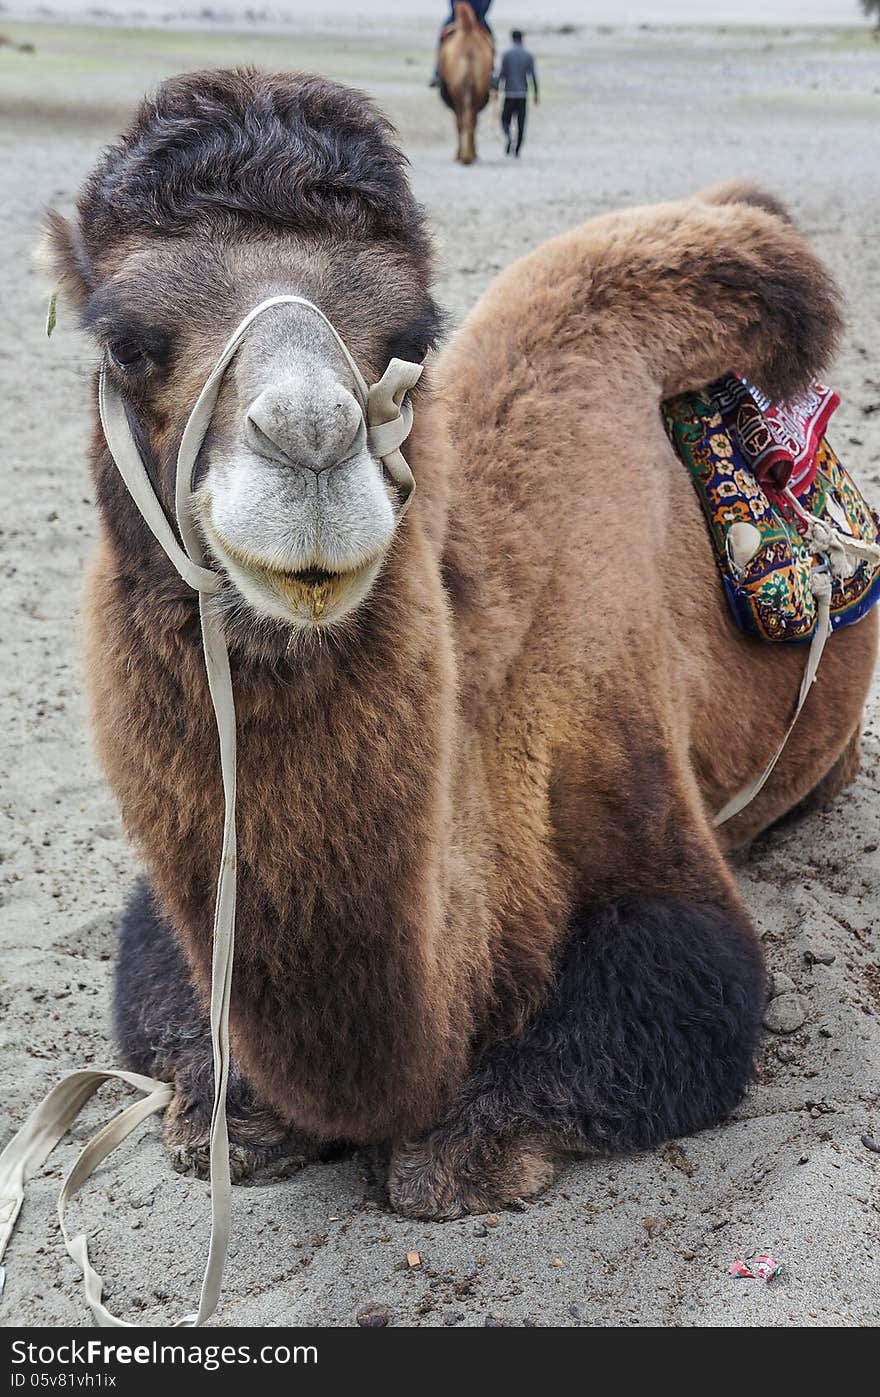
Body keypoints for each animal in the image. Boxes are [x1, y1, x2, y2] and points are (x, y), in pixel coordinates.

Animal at [43, 70, 880, 1218]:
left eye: (411, 337)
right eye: (125, 342)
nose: (311, 440)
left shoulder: (648, 820)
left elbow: (679, 995)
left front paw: (452, 1144)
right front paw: (233, 1111)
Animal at [438, 0, 494, 164]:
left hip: (458, 92)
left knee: (464, 120)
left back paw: (465, 156)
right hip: (477, 89)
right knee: (470, 120)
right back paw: (469, 155)